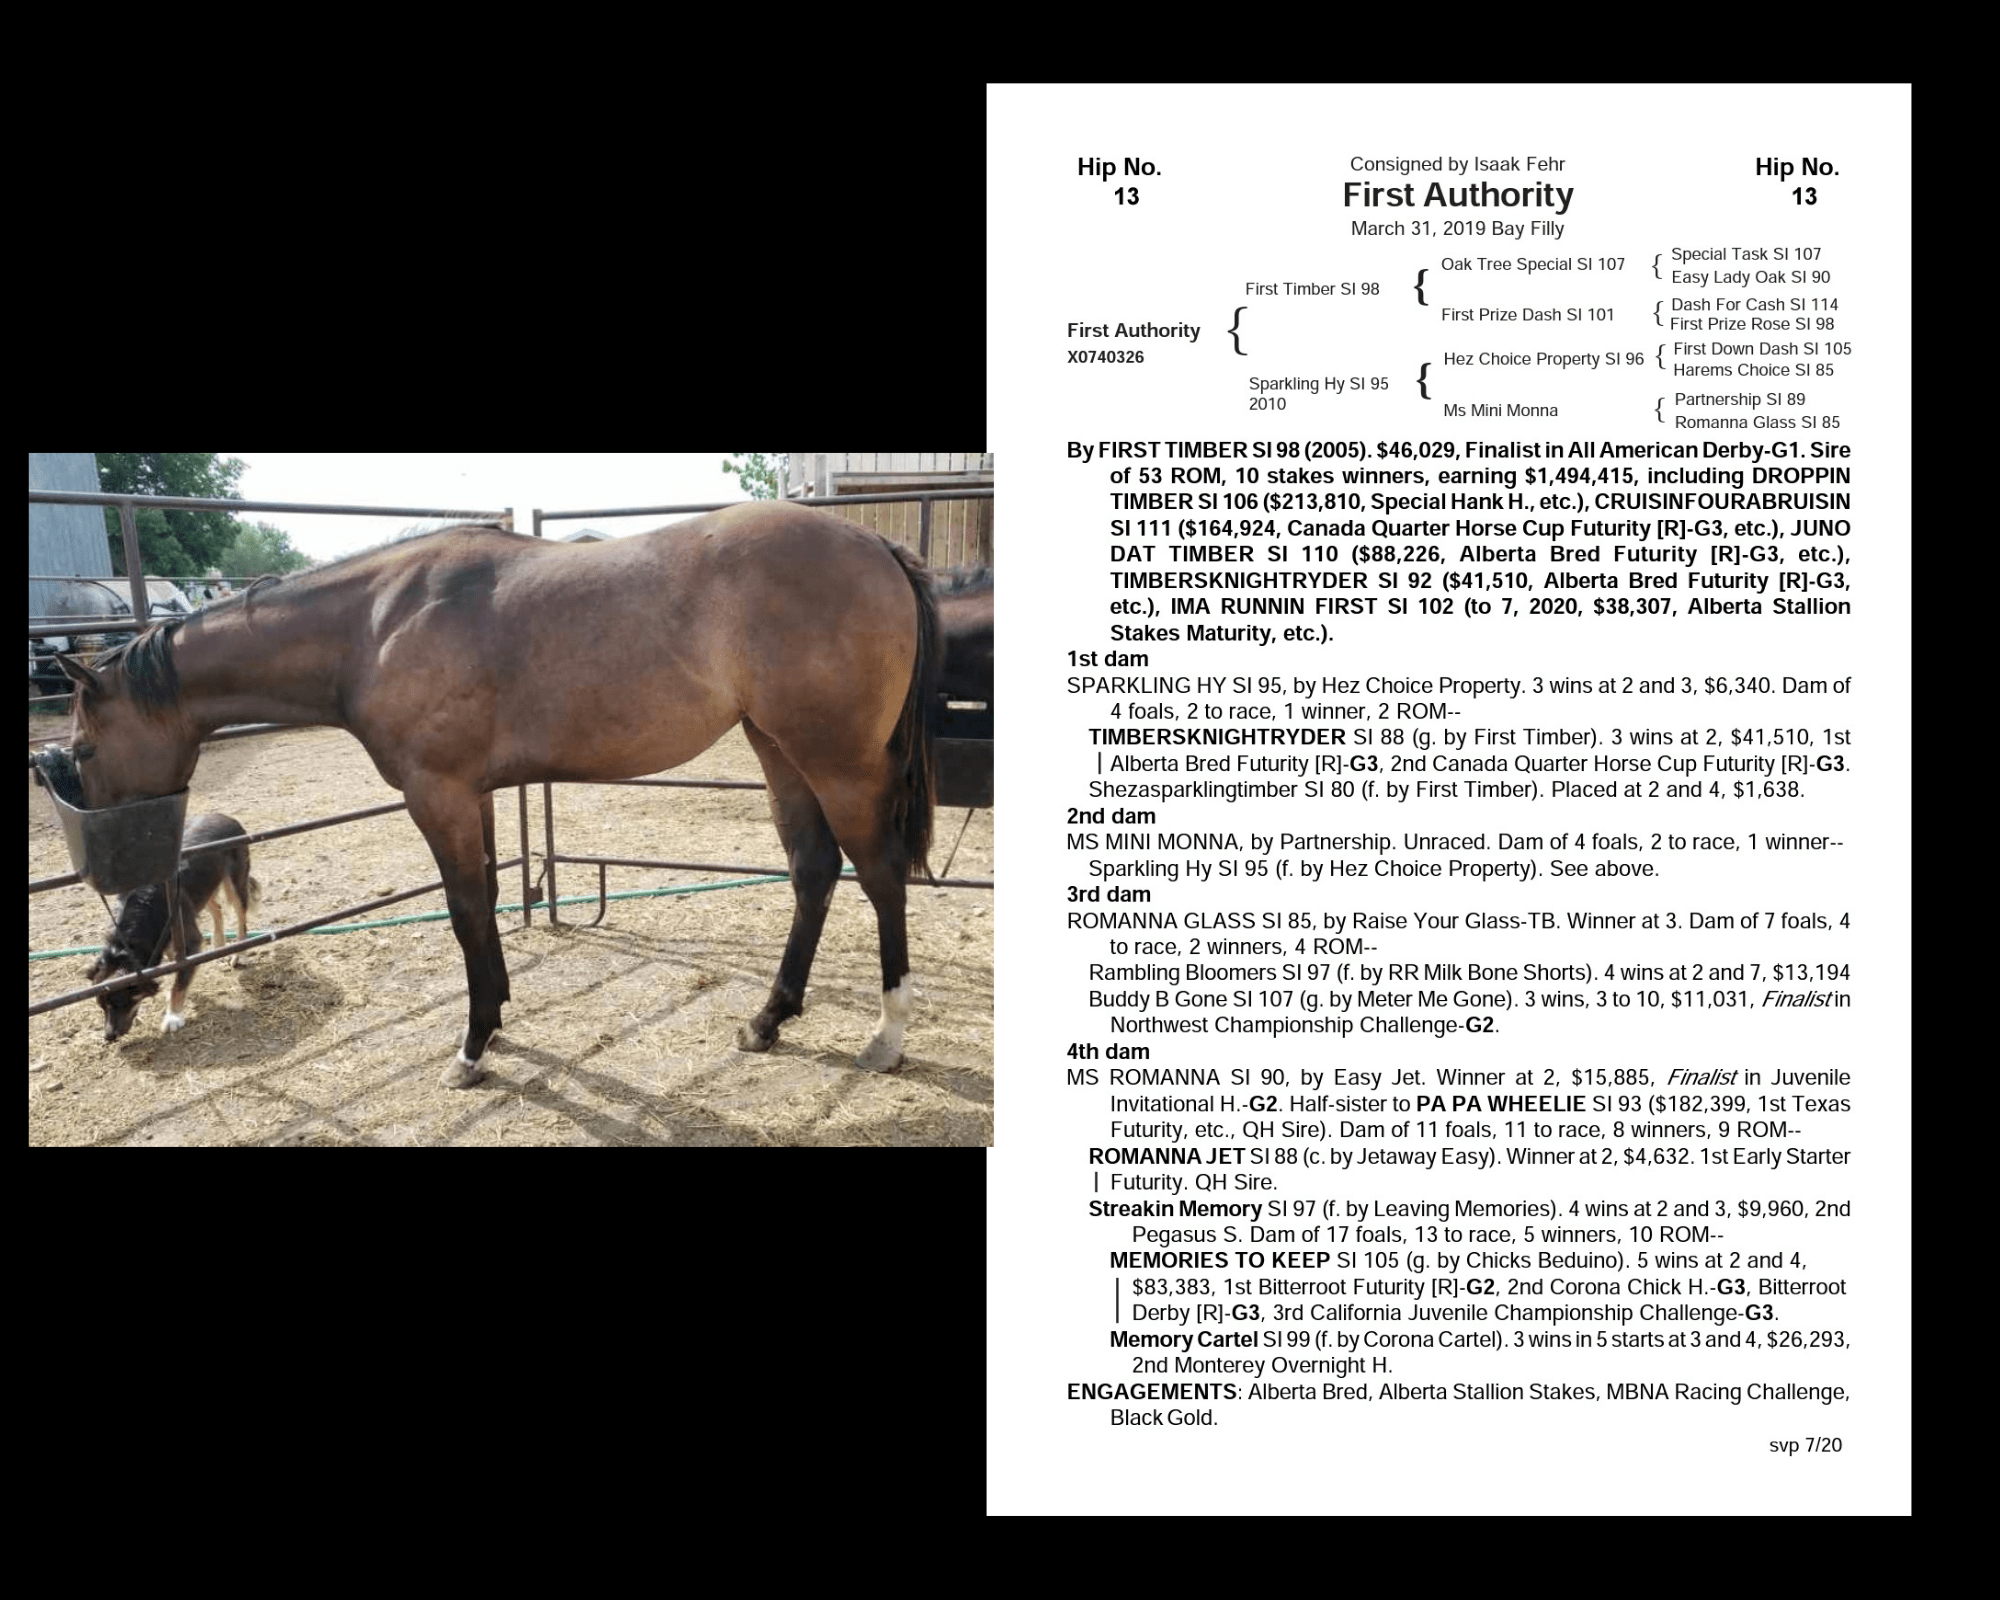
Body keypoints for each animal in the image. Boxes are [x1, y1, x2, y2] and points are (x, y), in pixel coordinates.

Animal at [56, 501, 939, 1088]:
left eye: (85, 747)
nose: (108, 871)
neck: (374, 625)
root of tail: (875, 543)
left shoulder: (438, 795)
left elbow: (464, 912)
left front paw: (474, 1046)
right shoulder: (471, 795)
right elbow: (482, 900)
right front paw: (502, 1015)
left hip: (837, 760)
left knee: (881, 875)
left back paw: (888, 1036)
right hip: (777, 747)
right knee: (813, 870)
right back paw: (768, 1020)